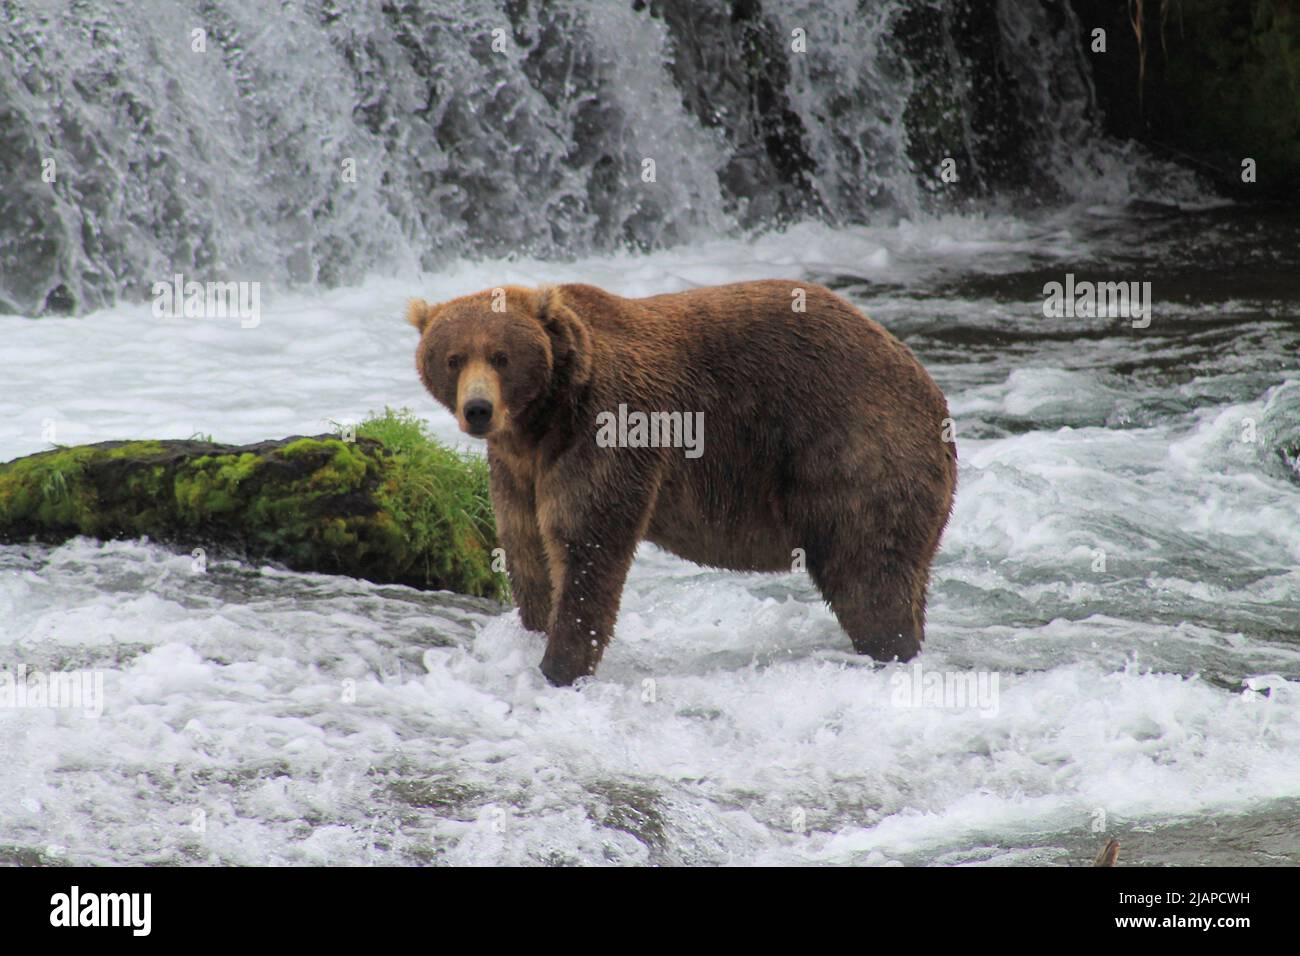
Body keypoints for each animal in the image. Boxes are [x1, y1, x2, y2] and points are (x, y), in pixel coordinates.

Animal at [410, 280, 961, 686]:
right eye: (453, 357)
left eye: (501, 356)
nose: (478, 409)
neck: (545, 417)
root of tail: (931, 390)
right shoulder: (517, 467)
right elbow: (526, 548)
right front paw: (532, 635)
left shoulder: (609, 426)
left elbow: (587, 542)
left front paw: (559, 666)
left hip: (855, 449)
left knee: (868, 571)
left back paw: (889, 648)